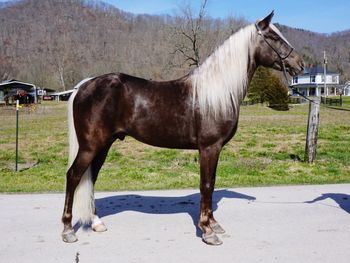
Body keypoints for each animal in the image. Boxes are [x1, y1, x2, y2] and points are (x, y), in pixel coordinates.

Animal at [62, 11, 304, 246]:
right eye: (273, 37)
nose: (300, 64)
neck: (217, 92)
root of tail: (83, 86)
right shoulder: (209, 147)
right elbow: (206, 185)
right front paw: (207, 231)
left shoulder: (214, 149)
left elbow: (212, 183)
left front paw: (214, 224)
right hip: (90, 146)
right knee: (74, 176)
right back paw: (67, 230)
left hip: (103, 146)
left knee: (91, 178)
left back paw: (96, 222)